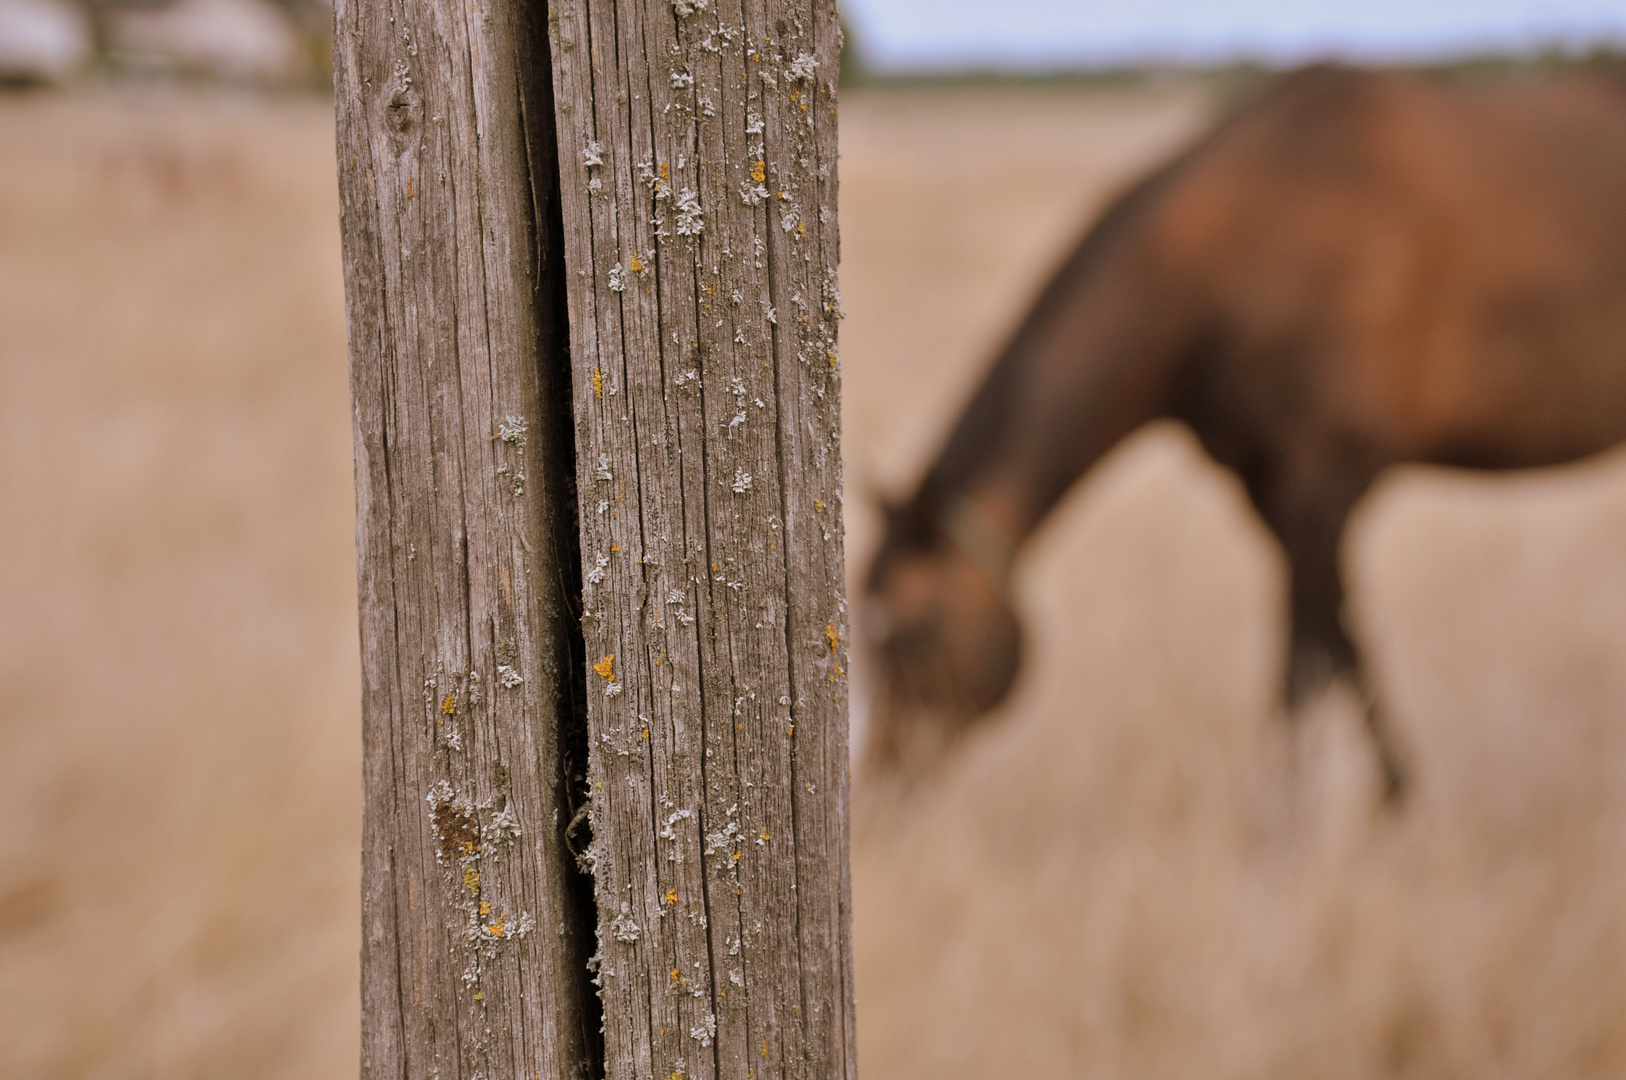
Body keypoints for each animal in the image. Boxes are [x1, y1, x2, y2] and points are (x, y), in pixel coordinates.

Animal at [871, 65, 1626, 793]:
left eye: (911, 637)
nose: (880, 778)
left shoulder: (1324, 483)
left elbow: (1308, 660)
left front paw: (1298, 820)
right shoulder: (1267, 490)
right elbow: (1340, 640)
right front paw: (1389, 795)